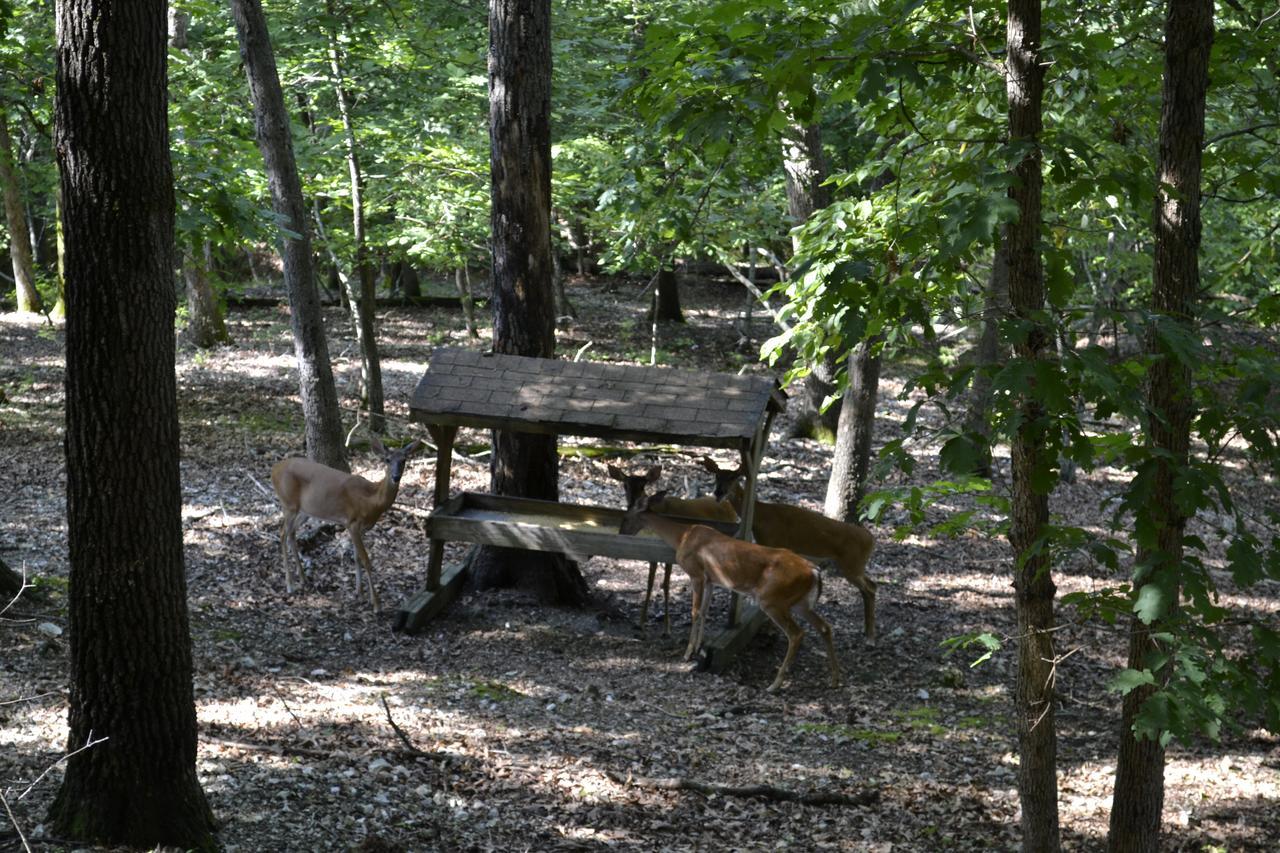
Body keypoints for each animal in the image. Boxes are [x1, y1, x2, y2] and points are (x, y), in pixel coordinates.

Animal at [267, 435, 422, 607]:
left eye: (404, 460)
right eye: (387, 459)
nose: (396, 477)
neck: (372, 501)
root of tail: (274, 469)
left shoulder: (361, 528)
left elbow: (356, 558)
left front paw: (359, 592)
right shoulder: (352, 523)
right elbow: (366, 559)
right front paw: (376, 603)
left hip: (304, 510)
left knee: (292, 533)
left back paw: (302, 578)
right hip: (288, 504)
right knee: (282, 533)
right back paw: (290, 585)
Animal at [609, 461, 742, 635]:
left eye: (643, 485)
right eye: (625, 485)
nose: (632, 503)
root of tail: (728, 505)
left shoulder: (667, 553)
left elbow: (666, 584)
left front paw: (667, 628)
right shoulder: (651, 552)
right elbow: (650, 583)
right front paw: (641, 622)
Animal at [616, 484, 839, 691]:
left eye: (626, 517)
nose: (621, 532)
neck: (683, 536)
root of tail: (814, 571)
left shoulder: (696, 573)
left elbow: (695, 611)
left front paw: (688, 653)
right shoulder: (710, 579)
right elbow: (704, 611)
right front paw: (699, 648)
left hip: (773, 599)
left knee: (796, 634)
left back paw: (775, 684)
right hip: (800, 602)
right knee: (824, 627)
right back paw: (835, 678)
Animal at [701, 458, 880, 637]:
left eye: (734, 477)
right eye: (716, 476)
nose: (718, 492)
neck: (760, 515)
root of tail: (871, 539)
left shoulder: (773, 542)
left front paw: (770, 629)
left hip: (852, 564)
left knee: (871, 587)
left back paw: (870, 635)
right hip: (852, 565)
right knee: (870, 586)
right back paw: (866, 631)